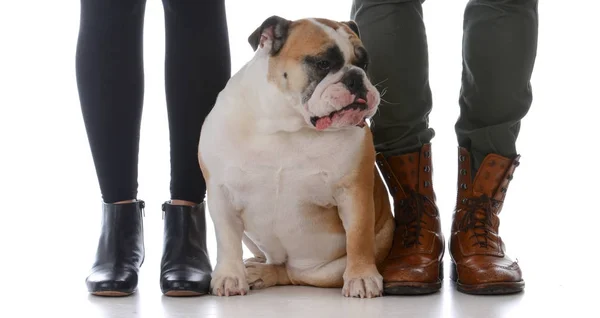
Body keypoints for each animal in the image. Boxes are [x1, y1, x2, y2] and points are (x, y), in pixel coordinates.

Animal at [197, 15, 394, 298]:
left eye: (364, 64)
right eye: (323, 63)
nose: (356, 77)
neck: (287, 123)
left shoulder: (354, 191)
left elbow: (359, 237)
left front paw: (362, 277)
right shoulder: (220, 193)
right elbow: (227, 240)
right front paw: (229, 276)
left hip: (329, 268)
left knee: (293, 274)